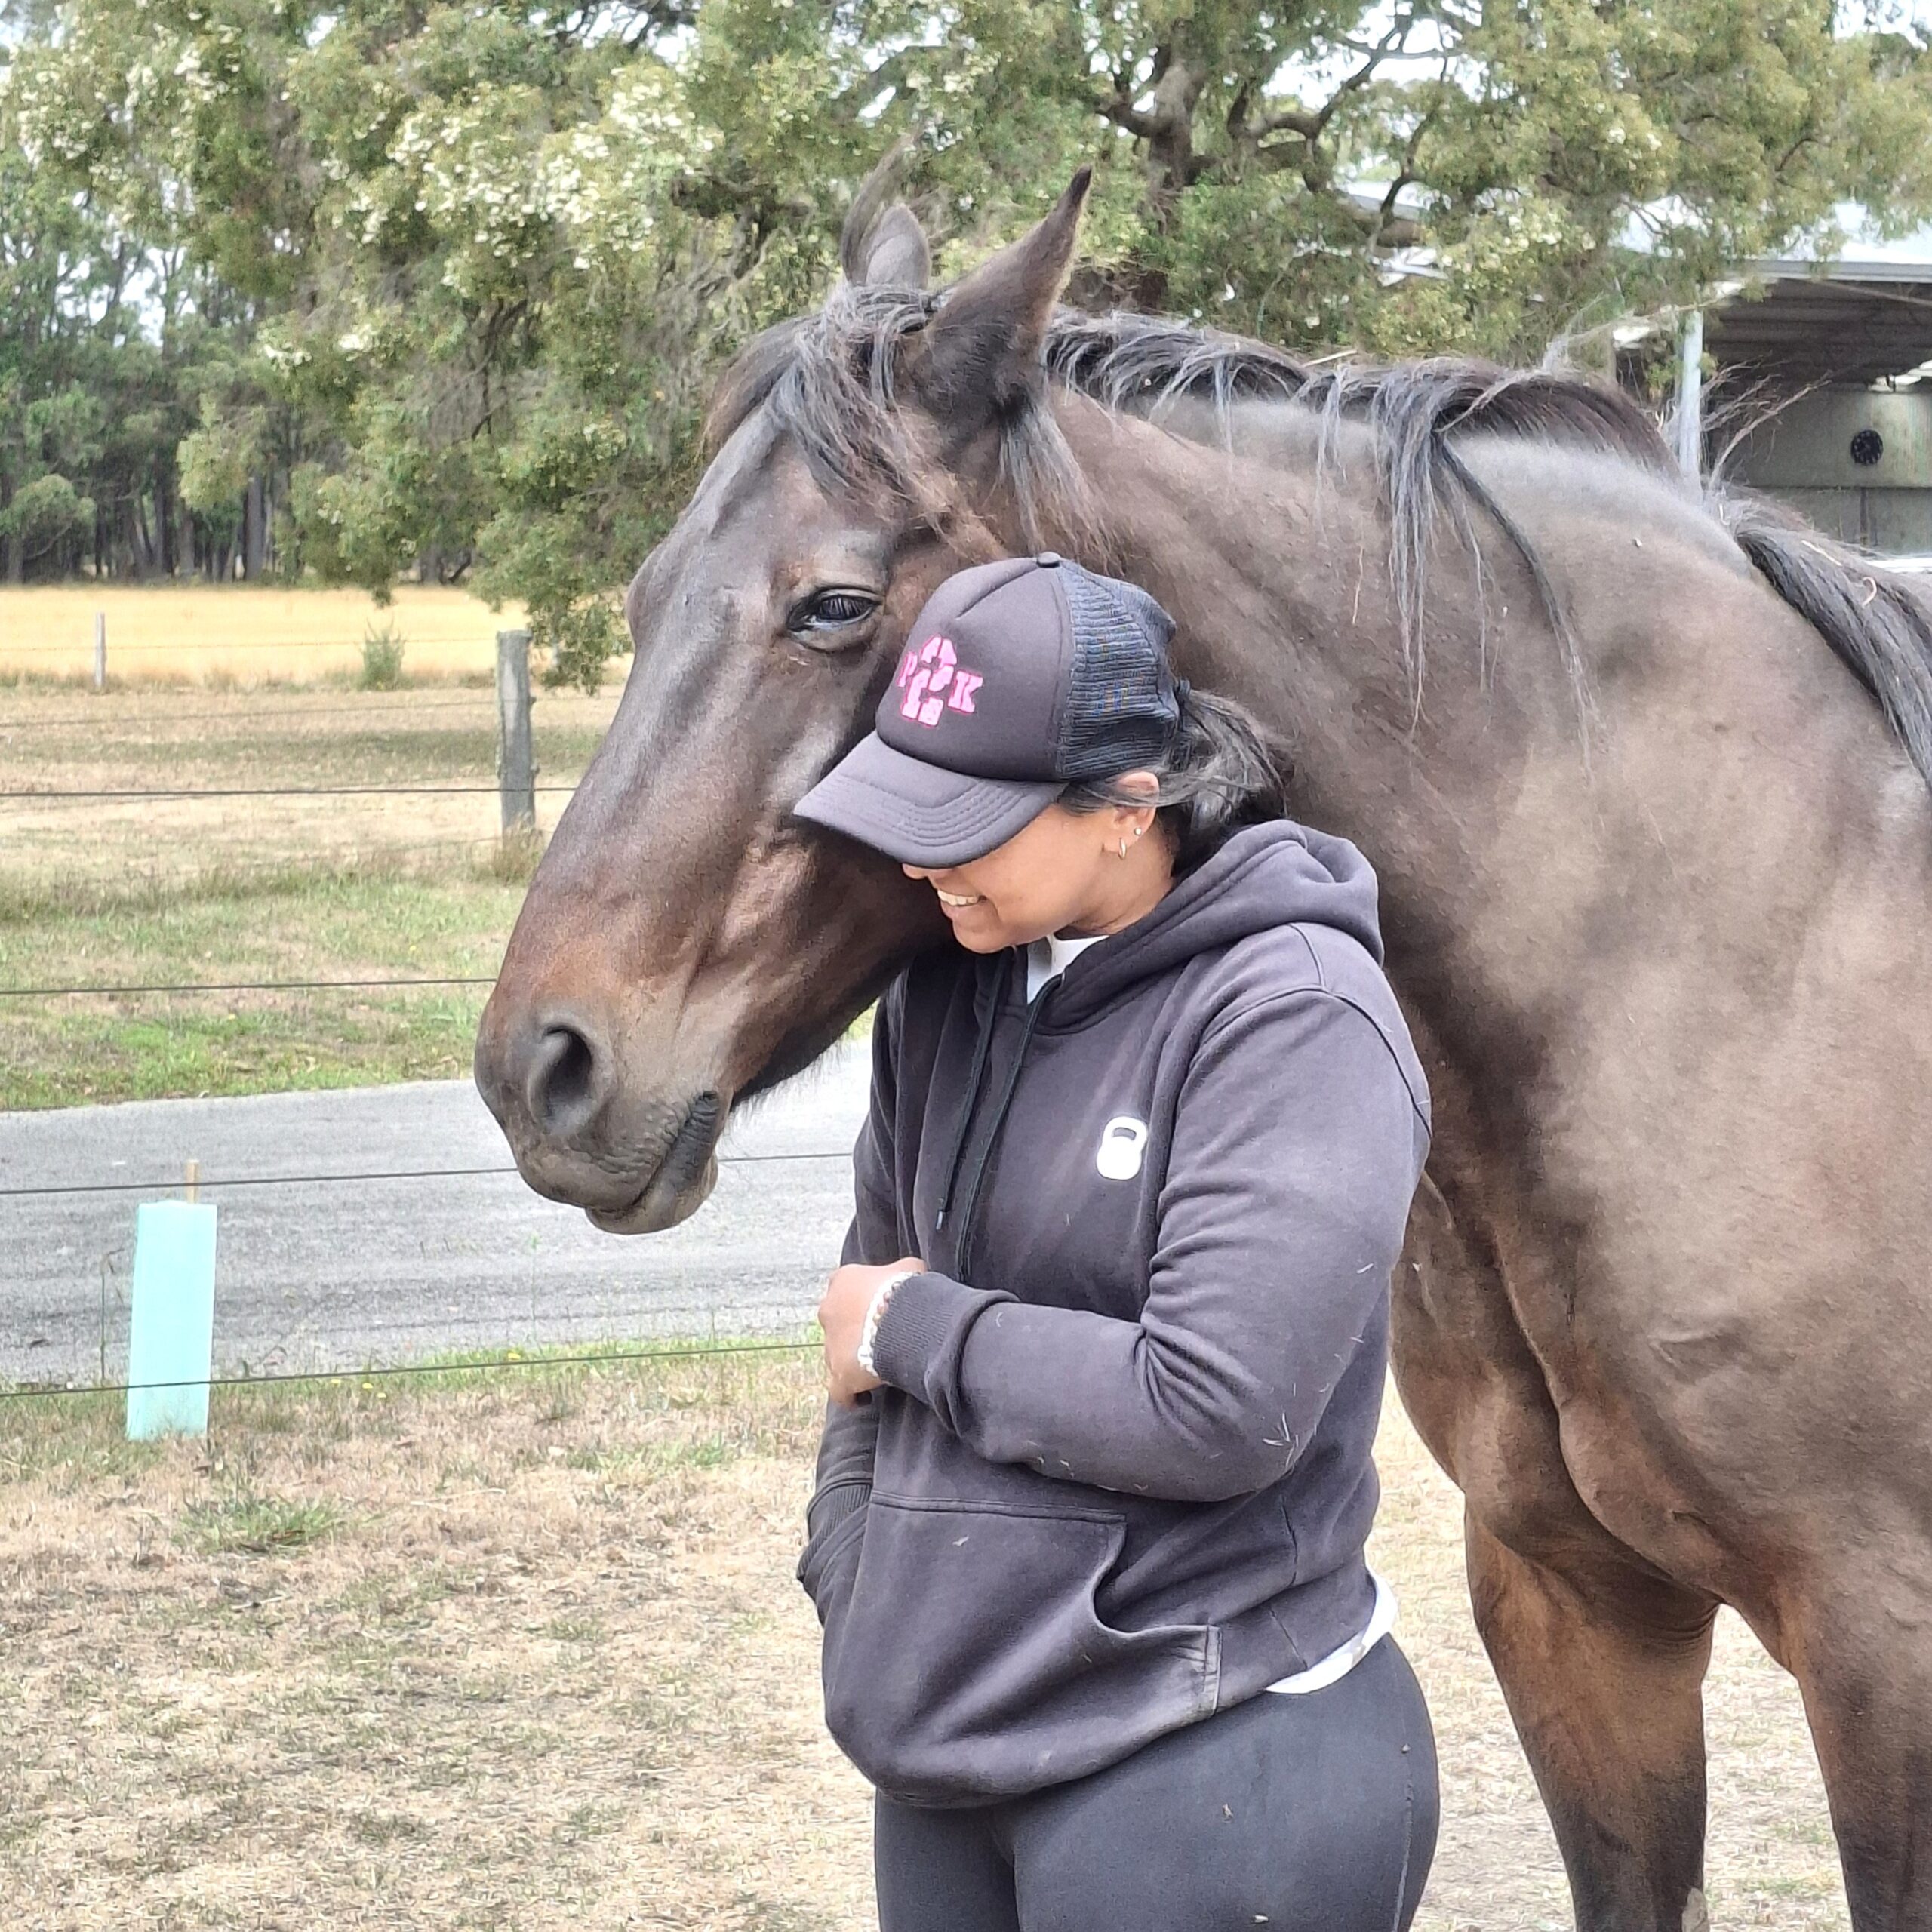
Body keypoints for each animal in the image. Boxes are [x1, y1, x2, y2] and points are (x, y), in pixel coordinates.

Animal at [473, 162, 1932, 1930]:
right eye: (640, 597)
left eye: (833, 603)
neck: (1734, 968)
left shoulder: (1885, 1654)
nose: (542, 1064)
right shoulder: (1574, 1606)